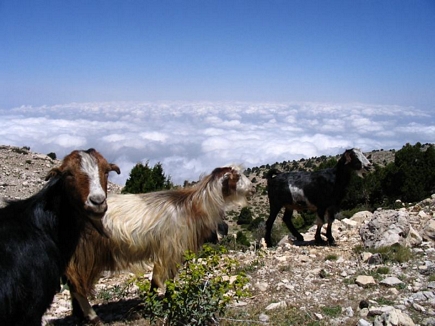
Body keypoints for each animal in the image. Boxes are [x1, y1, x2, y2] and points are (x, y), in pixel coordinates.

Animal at [64, 164, 255, 322]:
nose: (251, 188)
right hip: (85, 253)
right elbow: (162, 280)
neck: (193, 207)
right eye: (237, 176)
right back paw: (92, 316)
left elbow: (158, 281)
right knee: (77, 284)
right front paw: (165, 302)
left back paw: (78, 314)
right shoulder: (171, 250)